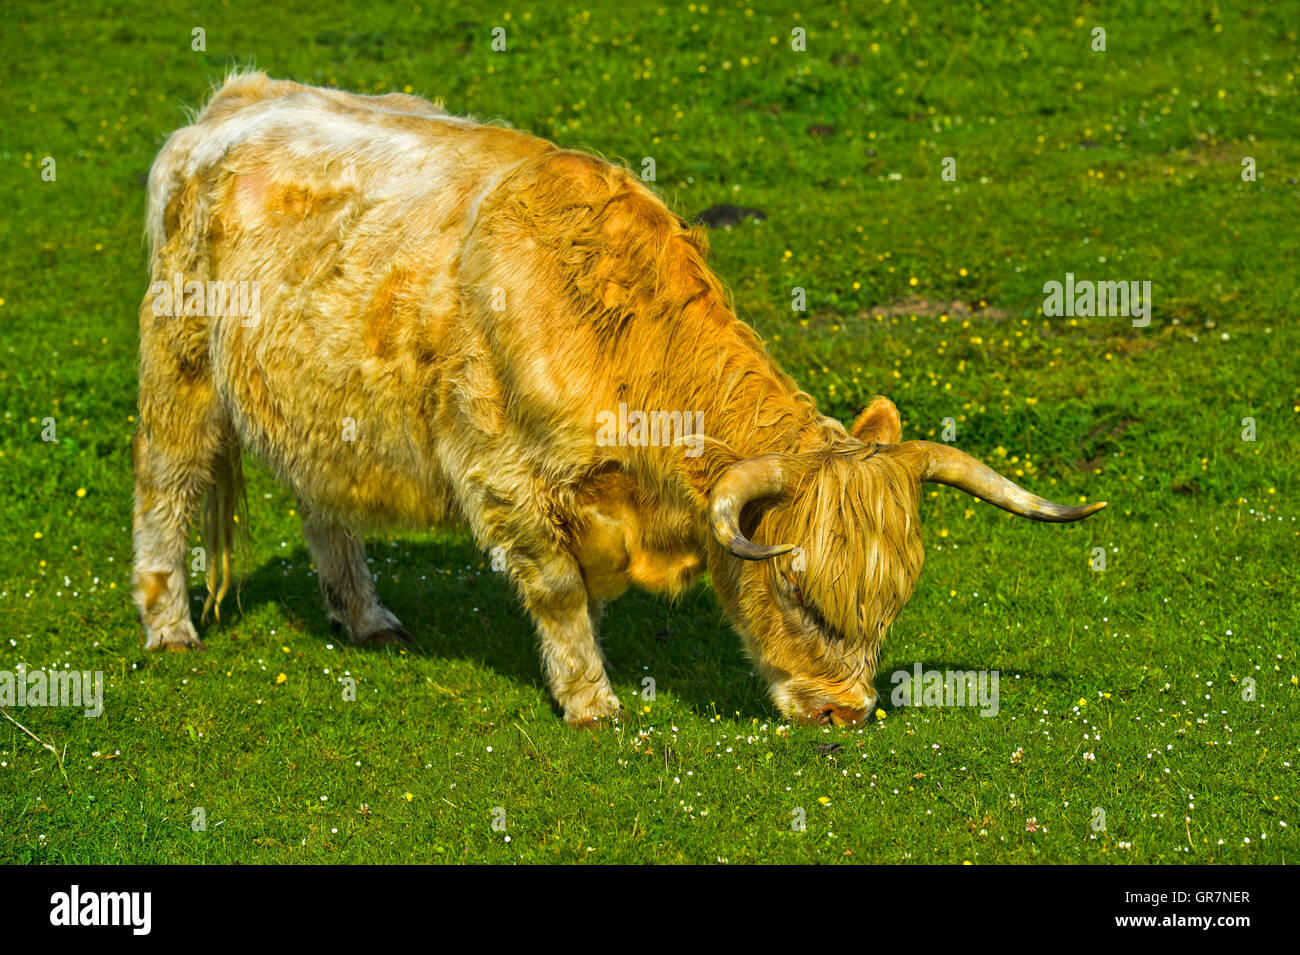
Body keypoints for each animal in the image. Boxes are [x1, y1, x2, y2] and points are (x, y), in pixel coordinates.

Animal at [134, 74, 1107, 727]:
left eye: (892, 599)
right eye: (794, 588)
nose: (845, 712)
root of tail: (230, 102)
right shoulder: (503, 477)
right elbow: (560, 592)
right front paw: (591, 699)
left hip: (320, 409)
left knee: (324, 503)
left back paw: (365, 616)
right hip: (180, 366)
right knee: (164, 488)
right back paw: (168, 625)